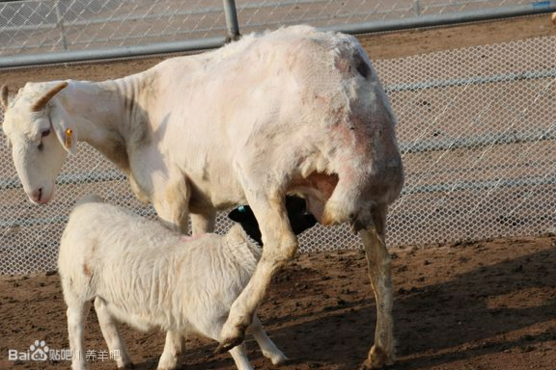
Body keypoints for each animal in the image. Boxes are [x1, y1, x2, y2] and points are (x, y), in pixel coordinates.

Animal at [59, 195, 286, 368]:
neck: (231, 256)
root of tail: (83, 208)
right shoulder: (208, 319)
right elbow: (236, 346)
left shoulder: (237, 307)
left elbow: (255, 325)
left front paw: (276, 355)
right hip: (77, 286)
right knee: (75, 323)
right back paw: (80, 363)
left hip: (107, 288)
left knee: (102, 309)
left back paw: (122, 358)